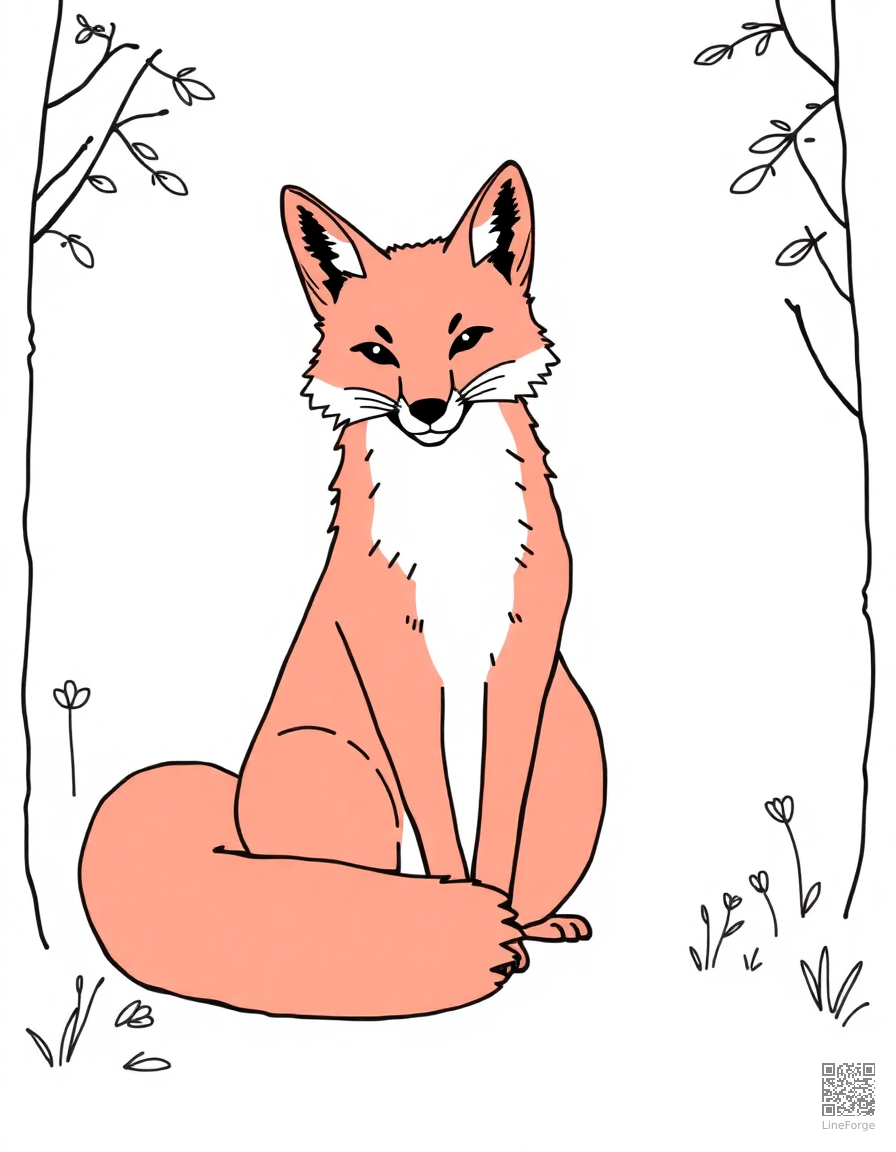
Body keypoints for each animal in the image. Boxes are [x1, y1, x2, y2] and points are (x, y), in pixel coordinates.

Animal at [79, 161, 606, 1019]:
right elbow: (445, 833)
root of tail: (232, 816)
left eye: (466, 338)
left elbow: (498, 826)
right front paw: (470, 920)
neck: (452, 531)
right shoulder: (397, 667)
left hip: (575, 731)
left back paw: (538, 922)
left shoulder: (522, 662)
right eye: (377, 351)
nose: (427, 409)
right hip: (343, 770)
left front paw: (504, 922)